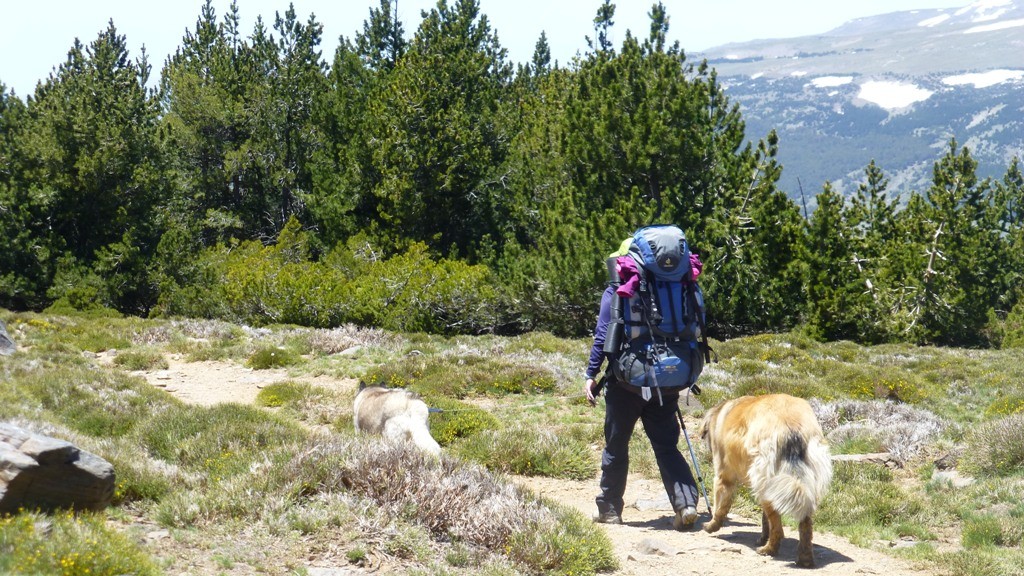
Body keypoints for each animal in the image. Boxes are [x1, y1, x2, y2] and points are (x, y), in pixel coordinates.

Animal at [696, 391, 831, 565]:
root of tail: (791, 428)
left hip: (766, 478)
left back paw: (769, 550)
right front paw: (762, 537)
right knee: (804, 522)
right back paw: (804, 558)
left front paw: (712, 525)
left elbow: (719, 506)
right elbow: (764, 518)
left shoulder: (723, 476)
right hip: (796, 481)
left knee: (778, 527)